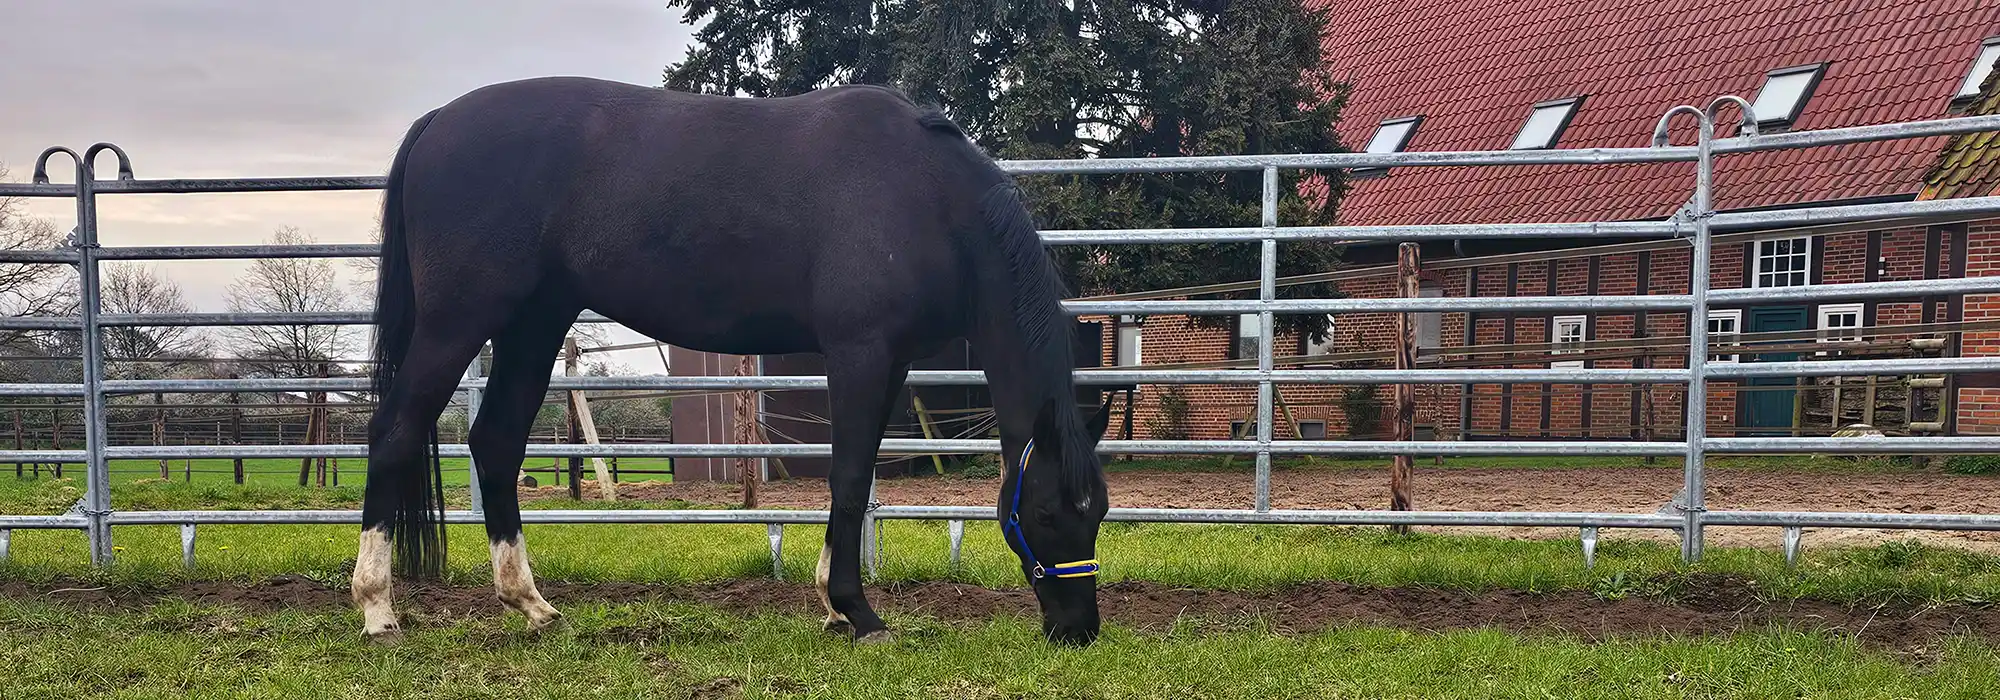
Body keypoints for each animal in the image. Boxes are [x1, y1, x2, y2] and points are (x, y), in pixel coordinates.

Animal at [352, 76, 1114, 646]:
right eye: (1048, 513)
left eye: (1099, 512)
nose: (1078, 631)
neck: (924, 193)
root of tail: (439, 121)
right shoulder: (860, 352)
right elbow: (847, 476)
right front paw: (857, 613)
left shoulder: (889, 360)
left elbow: (856, 473)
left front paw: (834, 606)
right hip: (458, 323)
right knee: (394, 433)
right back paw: (378, 610)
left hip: (533, 326)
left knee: (496, 443)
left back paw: (533, 605)